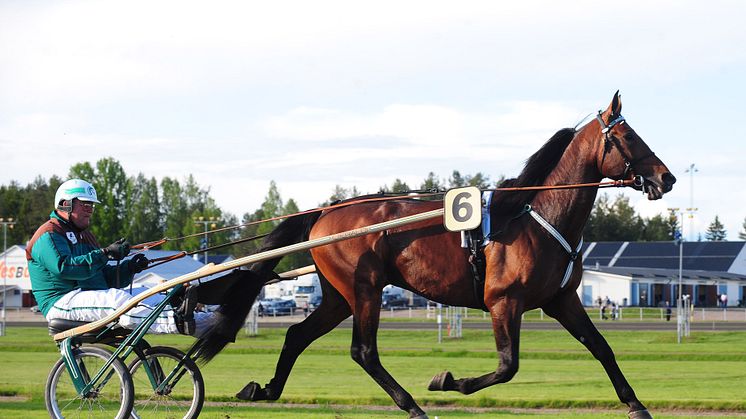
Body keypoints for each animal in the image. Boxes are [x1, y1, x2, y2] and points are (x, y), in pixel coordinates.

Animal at [190, 92, 676, 419]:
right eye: (628, 136)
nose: (666, 177)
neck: (536, 214)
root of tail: (328, 210)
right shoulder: (504, 301)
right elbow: (508, 366)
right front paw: (447, 380)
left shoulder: (562, 299)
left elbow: (602, 348)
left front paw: (636, 405)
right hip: (364, 289)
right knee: (363, 351)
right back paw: (412, 405)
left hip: (337, 295)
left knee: (297, 335)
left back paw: (265, 390)